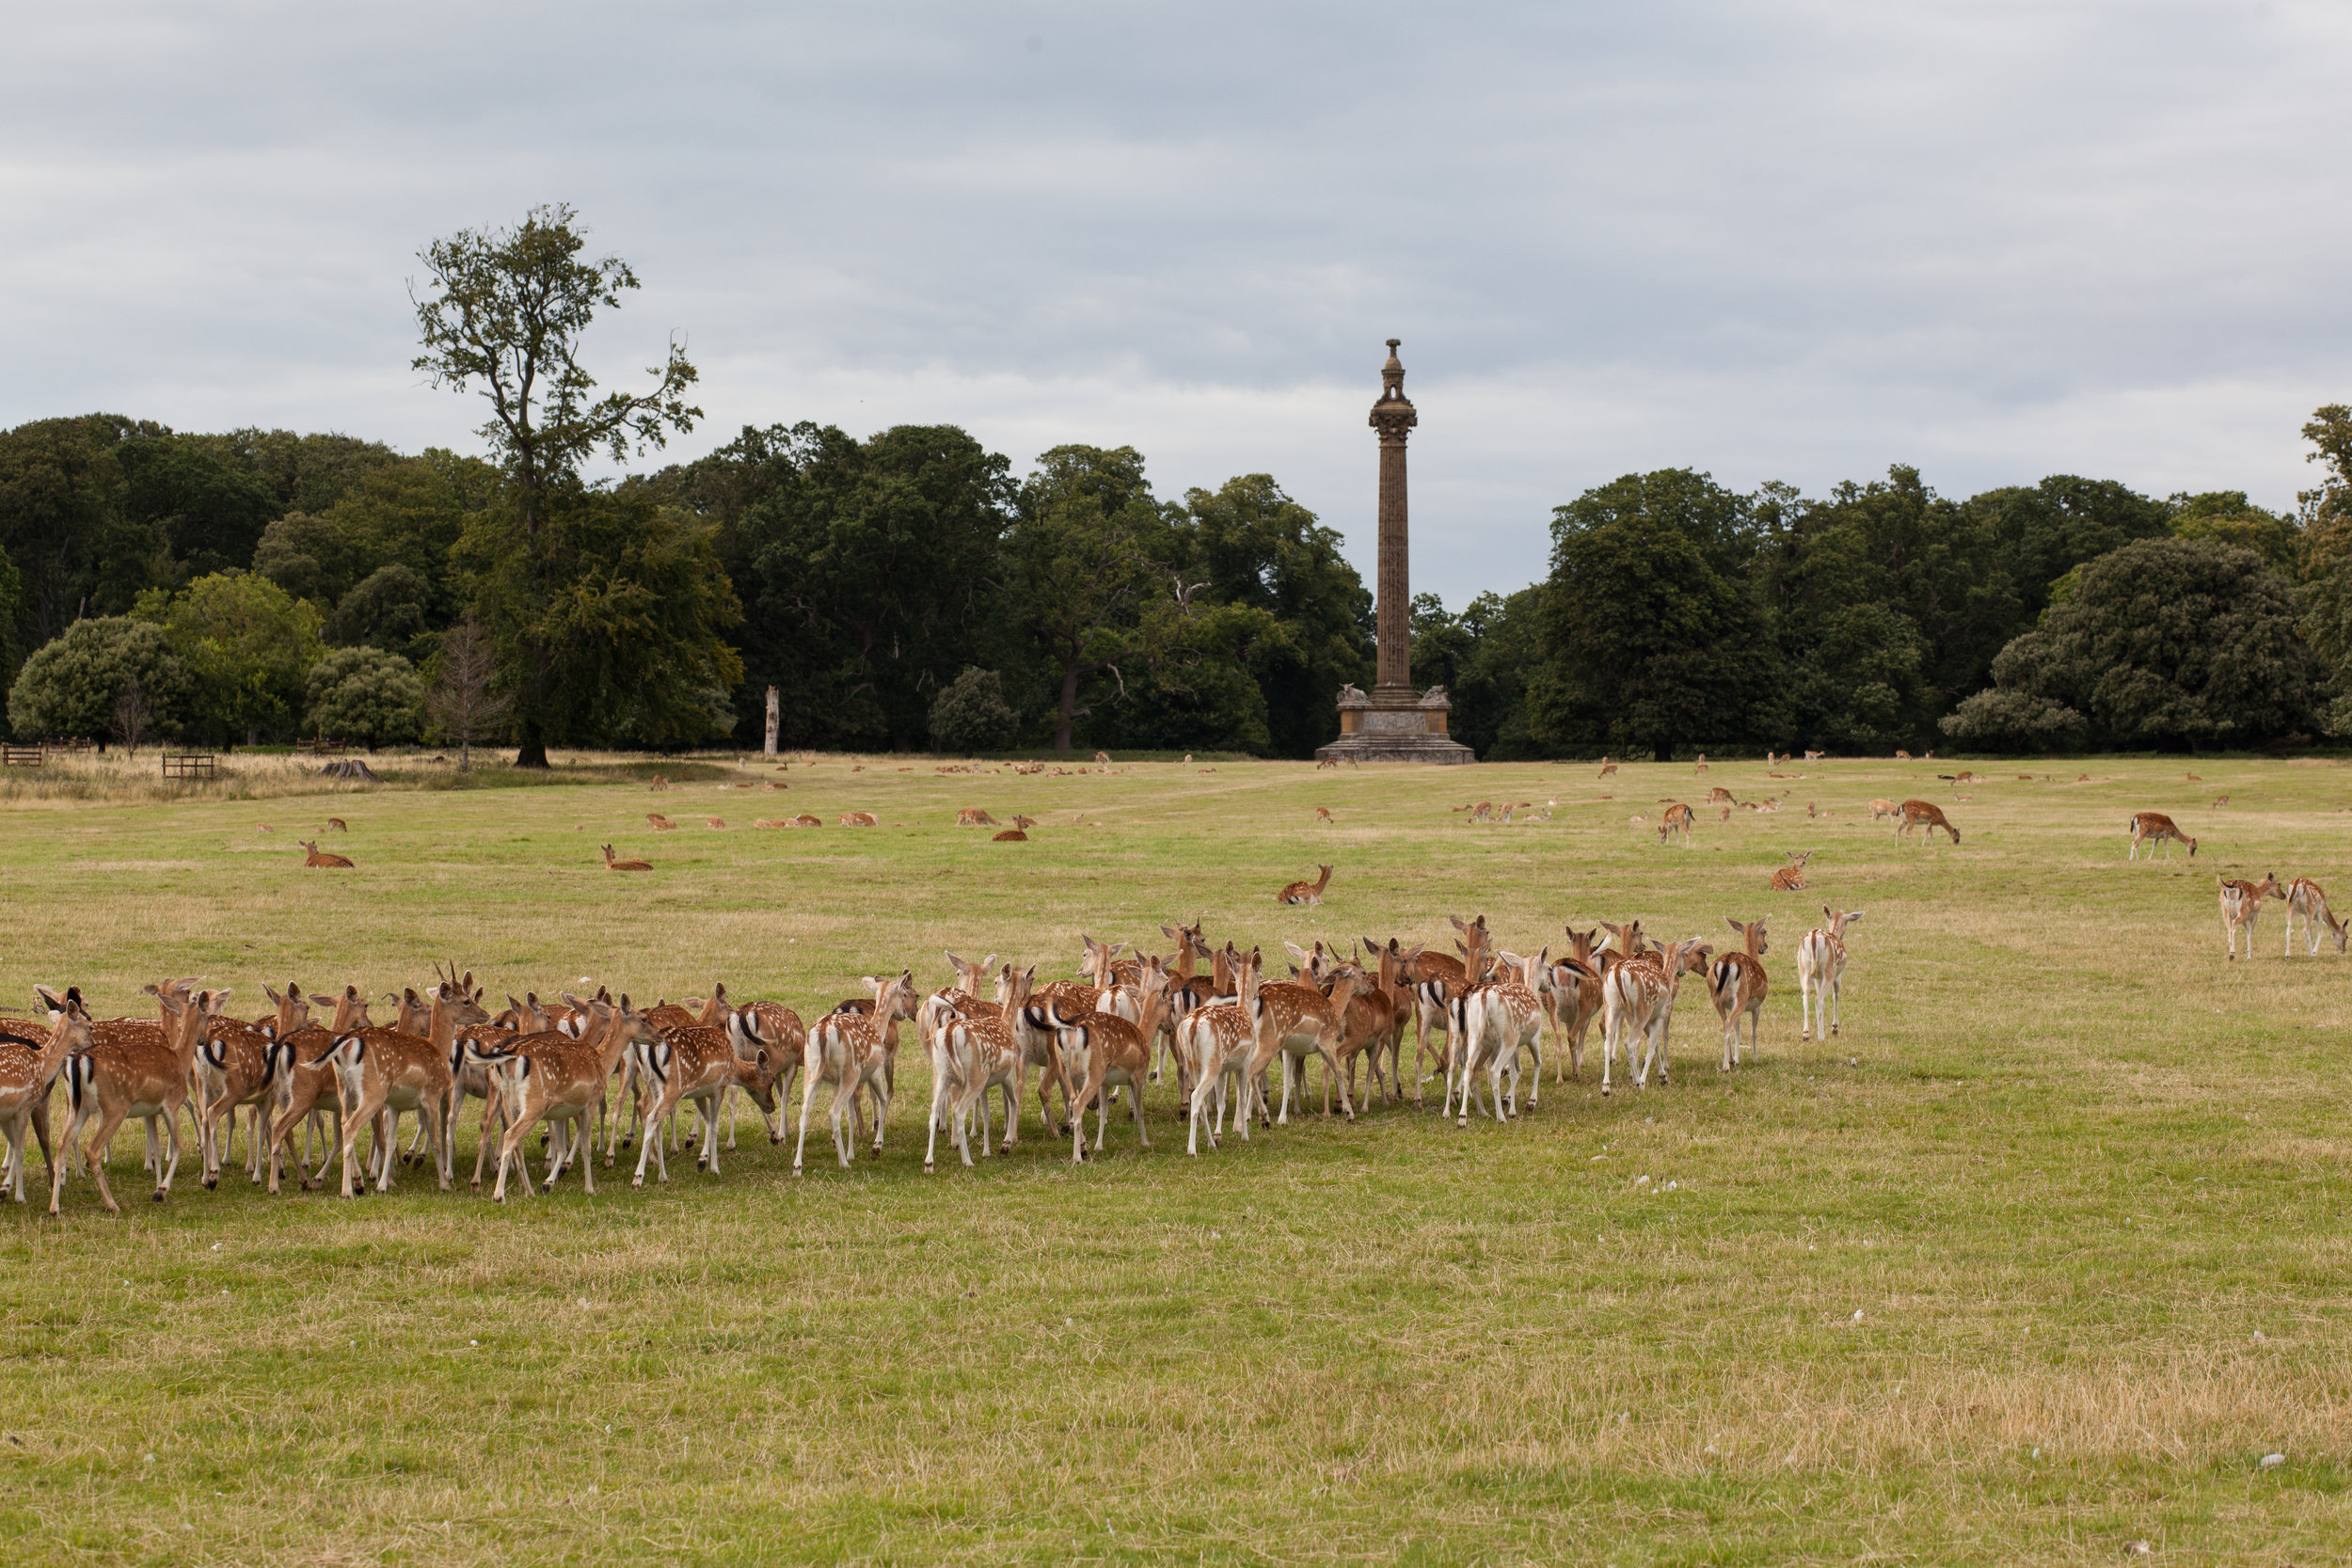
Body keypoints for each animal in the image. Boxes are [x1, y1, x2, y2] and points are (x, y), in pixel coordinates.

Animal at [1712, 911, 1769, 1071]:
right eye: (1764, 931)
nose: (1765, 947)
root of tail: (1727, 962)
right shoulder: (1757, 1006)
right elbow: (1753, 1032)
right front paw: (1755, 1059)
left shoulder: (1731, 1005)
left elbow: (1738, 1031)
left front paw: (1737, 1059)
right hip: (1742, 997)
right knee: (1728, 1024)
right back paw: (1726, 1066)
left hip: (1716, 997)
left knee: (1725, 1023)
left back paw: (1730, 1060)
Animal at [1788, 907, 1863, 1043]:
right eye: (1847, 922)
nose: (1843, 936)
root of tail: (1813, 937)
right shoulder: (1838, 975)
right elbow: (1836, 996)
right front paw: (1835, 1028)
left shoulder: (1818, 977)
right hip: (1829, 970)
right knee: (1819, 999)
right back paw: (1821, 1036)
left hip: (1803, 968)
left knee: (1806, 997)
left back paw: (1806, 1034)